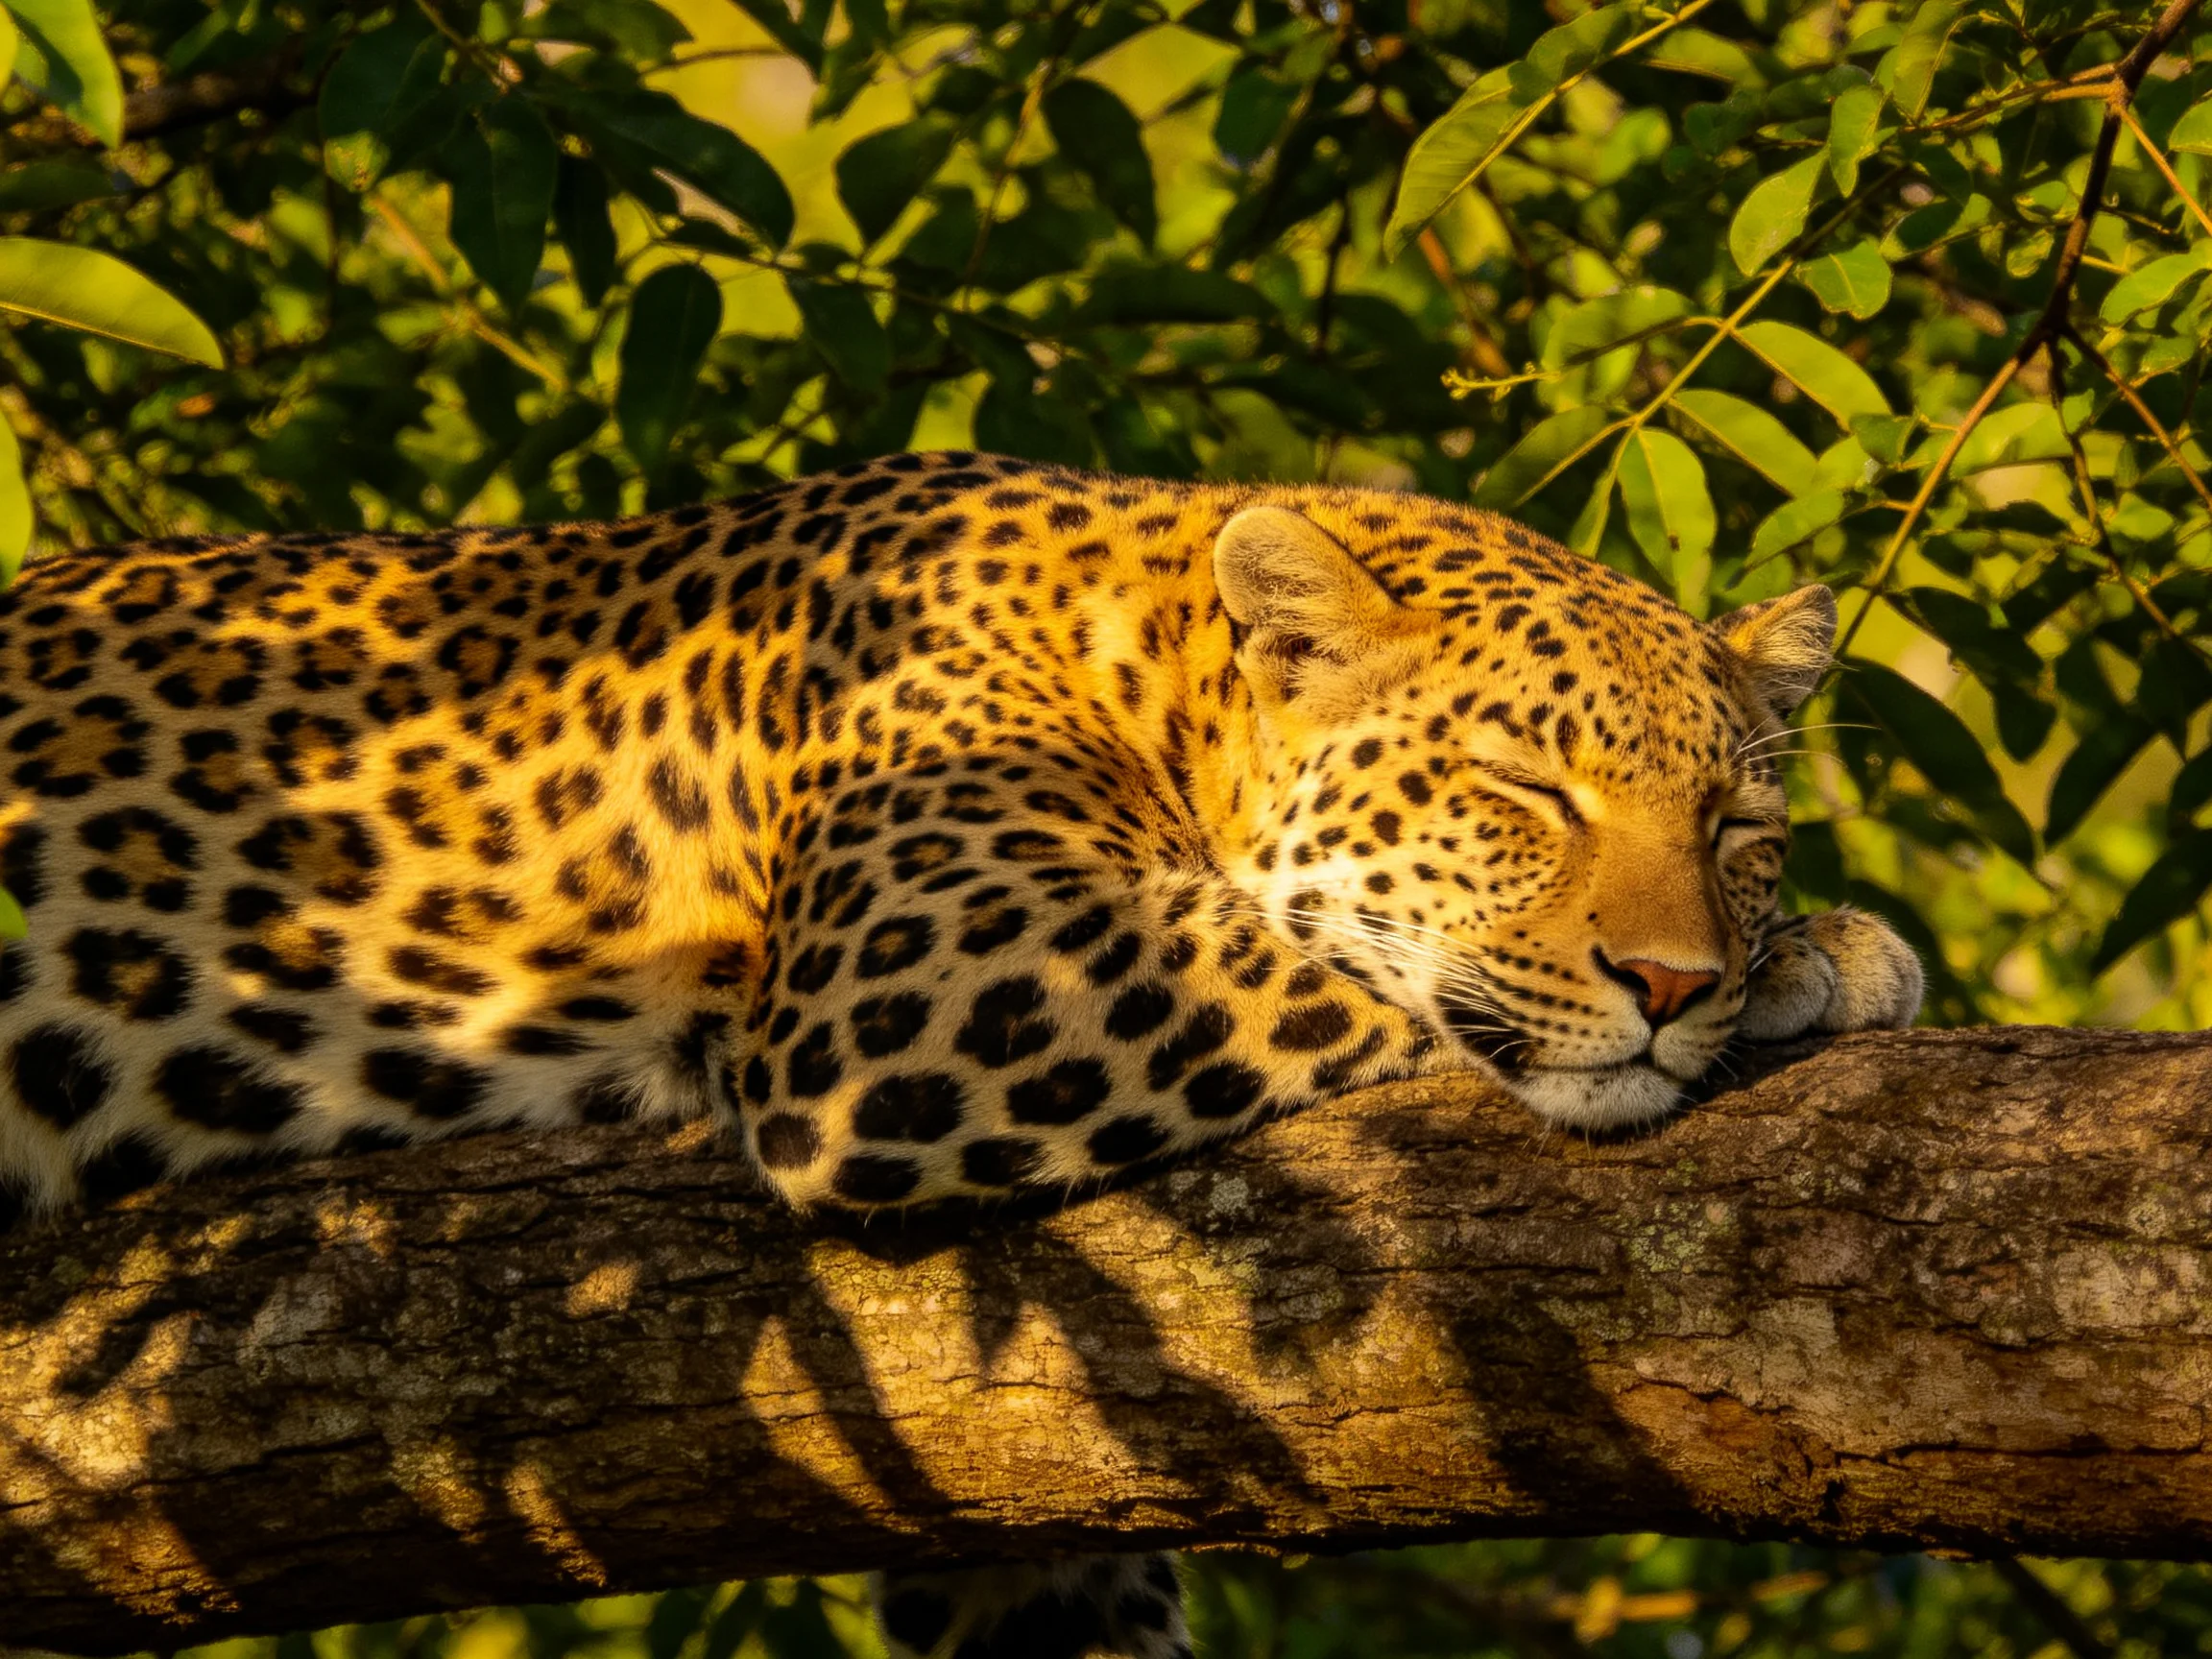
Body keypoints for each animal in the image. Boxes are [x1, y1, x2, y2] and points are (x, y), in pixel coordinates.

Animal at [0, 449, 1920, 1659]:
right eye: (1523, 790)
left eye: (1735, 823)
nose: (1671, 978)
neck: (1149, 664)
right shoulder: (921, 957)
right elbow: (1311, 955)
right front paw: (1820, 969)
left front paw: (1796, 950)